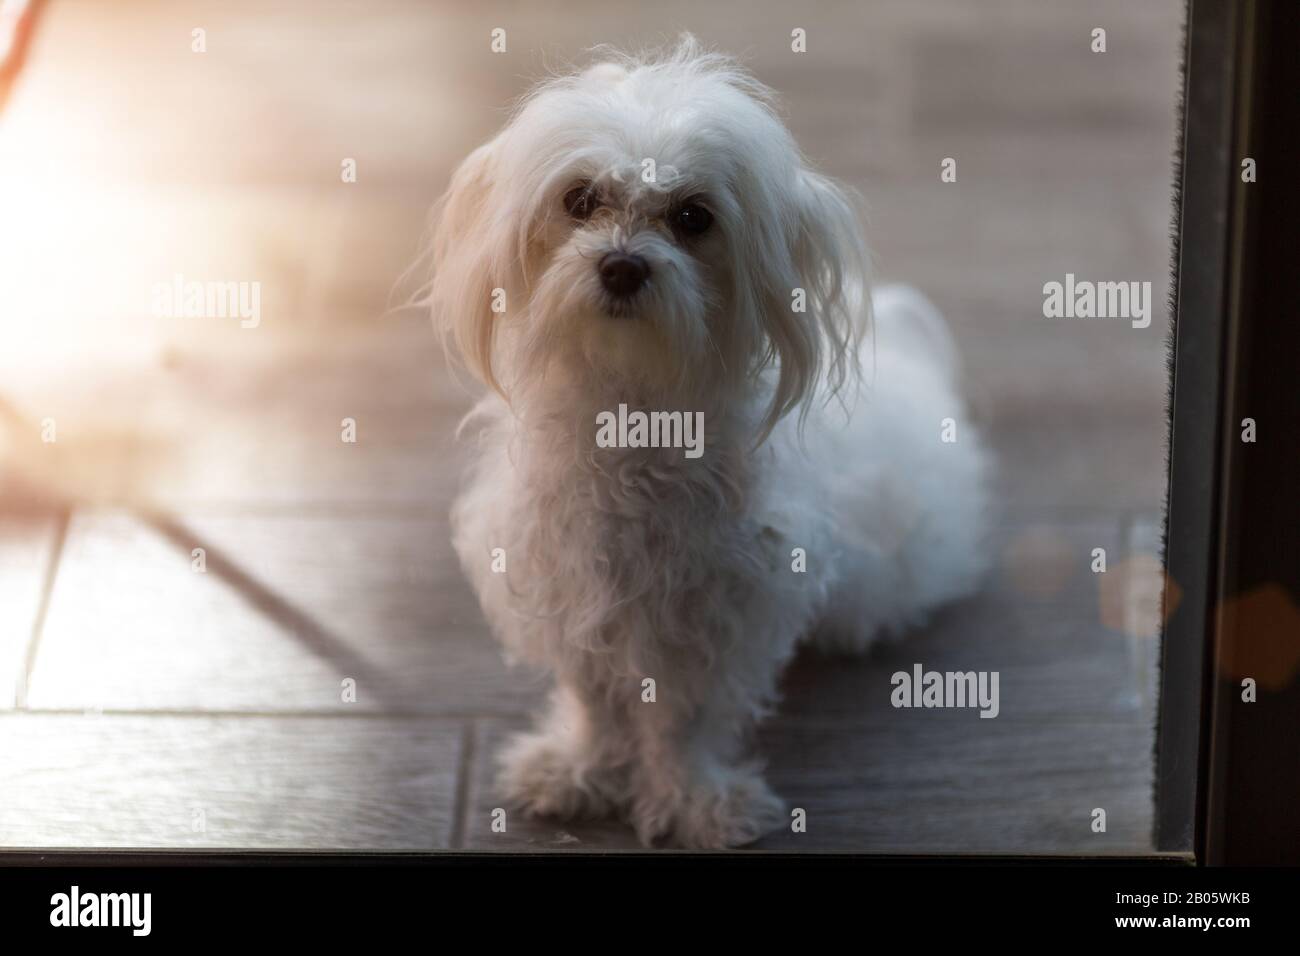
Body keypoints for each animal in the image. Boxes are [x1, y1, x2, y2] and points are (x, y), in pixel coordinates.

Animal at [426, 37, 982, 848]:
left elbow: (685, 721)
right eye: (579, 199)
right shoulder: (572, 585)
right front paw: (579, 769)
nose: (622, 265)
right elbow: (594, 699)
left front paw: (694, 800)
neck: (633, 415)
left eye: (694, 216)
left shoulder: (723, 611)